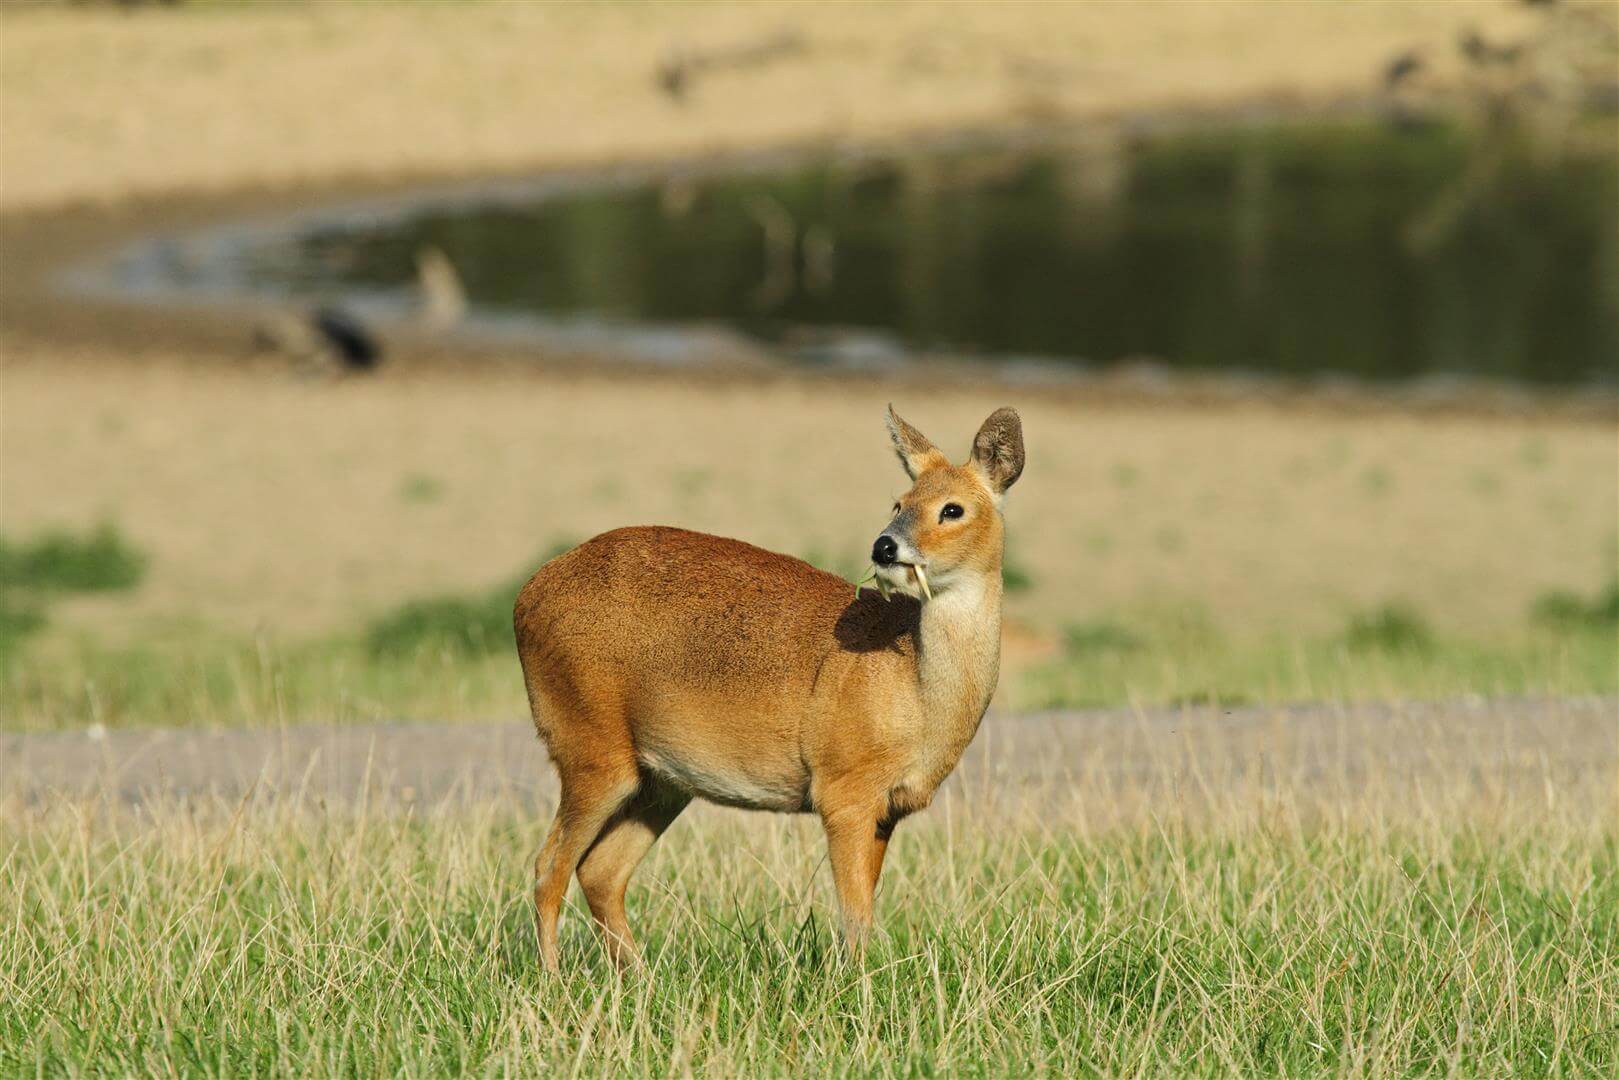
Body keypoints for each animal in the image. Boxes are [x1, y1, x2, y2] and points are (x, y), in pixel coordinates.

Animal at [514, 404, 1023, 971]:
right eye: (899, 501)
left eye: (953, 509)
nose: (885, 546)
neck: (914, 689)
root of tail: (526, 596)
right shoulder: (843, 788)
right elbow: (855, 916)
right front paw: (856, 984)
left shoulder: (888, 809)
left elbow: (865, 908)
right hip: (589, 746)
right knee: (547, 868)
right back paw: (555, 979)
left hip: (660, 780)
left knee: (599, 871)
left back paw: (639, 978)